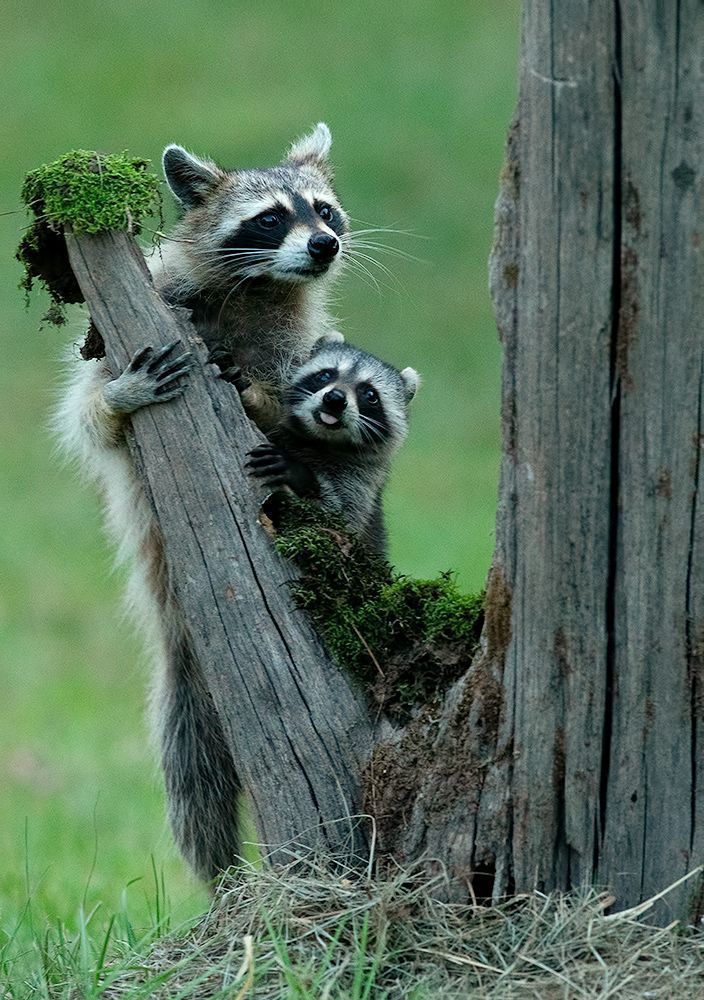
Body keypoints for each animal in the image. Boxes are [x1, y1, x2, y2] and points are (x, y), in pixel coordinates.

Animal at [55, 124, 352, 883]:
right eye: (271, 219)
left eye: (324, 211)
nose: (325, 246)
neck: (260, 286)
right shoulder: (131, 326)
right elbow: (89, 417)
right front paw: (117, 400)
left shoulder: (293, 346)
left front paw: (260, 398)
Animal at [245, 336, 420, 555]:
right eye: (325, 375)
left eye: (370, 395)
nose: (335, 399)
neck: (320, 440)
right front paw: (252, 396)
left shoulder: (363, 479)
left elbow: (341, 519)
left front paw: (299, 474)